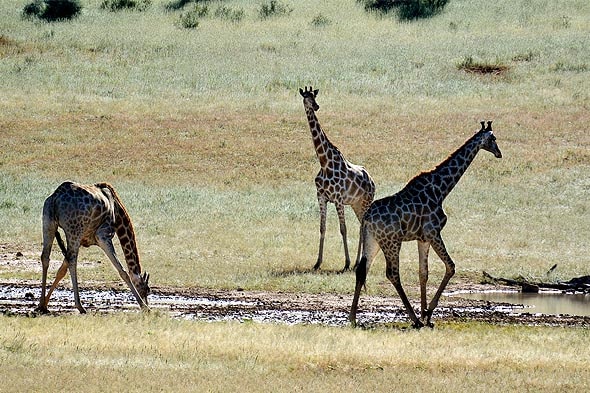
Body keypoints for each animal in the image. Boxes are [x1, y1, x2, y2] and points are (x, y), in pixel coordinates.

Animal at [37, 181, 150, 312]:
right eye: (146, 289)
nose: (147, 301)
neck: (117, 212)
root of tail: (56, 197)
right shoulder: (103, 235)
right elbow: (123, 271)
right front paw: (144, 307)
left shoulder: (82, 240)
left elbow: (61, 270)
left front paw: (44, 303)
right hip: (74, 229)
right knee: (72, 261)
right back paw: (80, 306)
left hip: (48, 222)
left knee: (46, 257)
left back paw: (41, 303)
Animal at [300, 85, 380, 270]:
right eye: (306, 97)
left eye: (314, 96)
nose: (316, 106)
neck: (324, 162)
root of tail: (372, 180)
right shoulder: (321, 197)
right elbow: (322, 228)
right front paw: (317, 263)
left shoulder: (337, 199)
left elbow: (343, 229)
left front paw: (346, 263)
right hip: (356, 204)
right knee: (361, 226)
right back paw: (358, 262)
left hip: (366, 201)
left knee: (364, 226)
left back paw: (357, 263)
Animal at [350, 120, 506, 328]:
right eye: (493, 138)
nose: (499, 153)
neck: (441, 189)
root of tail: (366, 218)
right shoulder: (434, 232)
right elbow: (451, 266)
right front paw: (428, 313)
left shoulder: (423, 238)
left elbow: (423, 273)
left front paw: (426, 315)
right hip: (391, 241)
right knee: (392, 274)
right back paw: (413, 319)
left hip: (373, 241)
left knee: (362, 270)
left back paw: (353, 317)